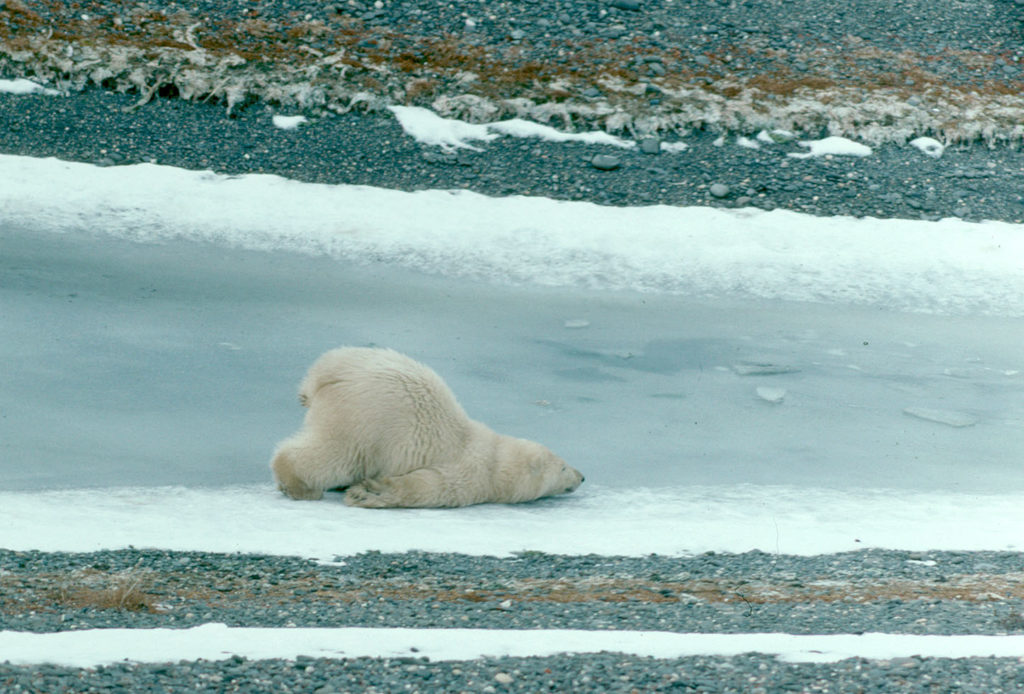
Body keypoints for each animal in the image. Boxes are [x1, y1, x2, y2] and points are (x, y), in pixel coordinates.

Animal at [268, 350, 585, 507]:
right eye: (563, 467)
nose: (582, 476)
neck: (496, 460)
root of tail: (329, 374)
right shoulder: (467, 473)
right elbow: (429, 487)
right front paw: (367, 493)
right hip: (364, 419)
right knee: (338, 455)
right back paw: (301, 487)